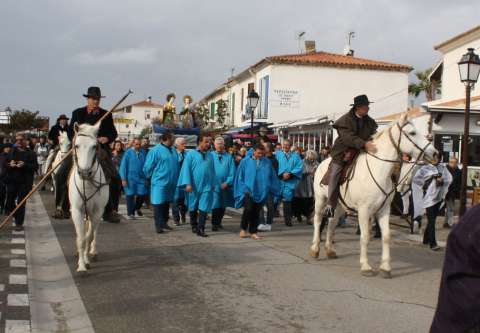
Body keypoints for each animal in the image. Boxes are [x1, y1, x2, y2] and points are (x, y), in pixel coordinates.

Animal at [68, 122, 109, 272]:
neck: (87, 183)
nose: (85, 173)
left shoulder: (97, 211)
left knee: (94, 231)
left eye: (94, 146)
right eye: (76, 145)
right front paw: (81, 266)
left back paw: (93, 252)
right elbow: (81, 238)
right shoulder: (77, 211)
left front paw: (85, 260)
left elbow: (89, 236)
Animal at [310, 113, 436, 276]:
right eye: (412, 133)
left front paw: (385, 267)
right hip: (321, 200)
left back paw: (330, 250)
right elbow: (365, 237)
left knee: (332, 223)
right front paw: (365, 266)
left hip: (339, 205)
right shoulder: (364, 210)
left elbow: (386, 236)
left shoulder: (384, 210)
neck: (379, 169)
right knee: (318, 220)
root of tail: (322, 163)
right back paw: (315, 249)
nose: (434, 152)